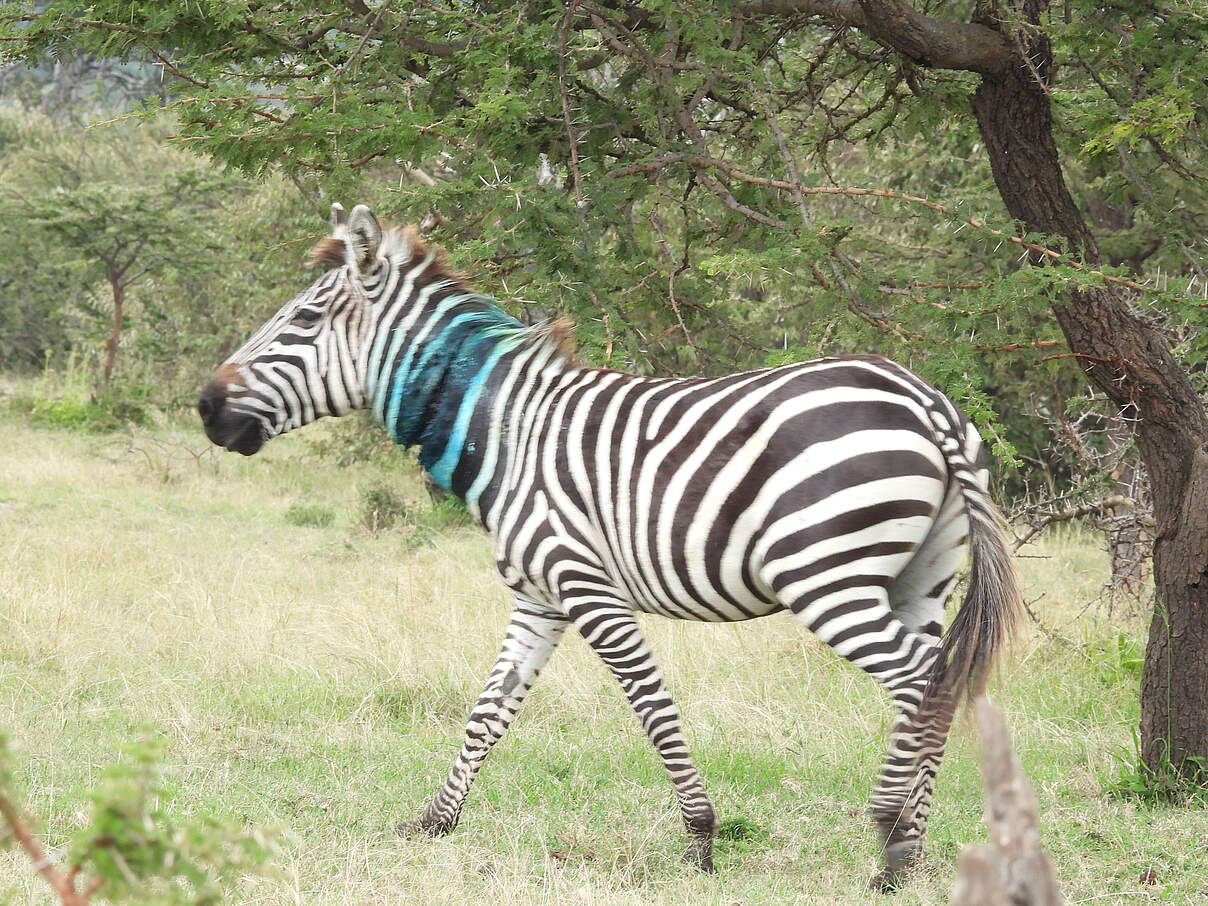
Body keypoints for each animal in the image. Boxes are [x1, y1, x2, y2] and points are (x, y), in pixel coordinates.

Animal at [198, 201, 1019, 889]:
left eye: (305, 318)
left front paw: (701, 841)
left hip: (825, 577)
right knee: (940, 680)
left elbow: (650, 704)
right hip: (920, 579)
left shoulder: (583, 584)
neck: (507, 432)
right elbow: (488, 710)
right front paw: (433, 823)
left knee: (920, 679)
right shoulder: (537, 598)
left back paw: (890, 838)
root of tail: (922, 395)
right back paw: (909, 854)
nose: (205, 408)